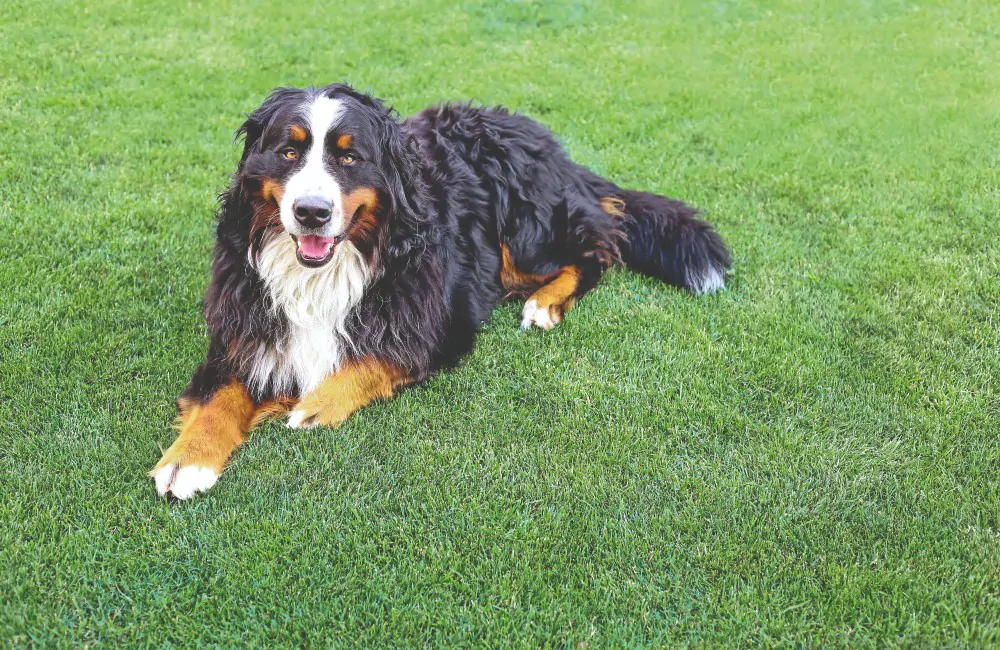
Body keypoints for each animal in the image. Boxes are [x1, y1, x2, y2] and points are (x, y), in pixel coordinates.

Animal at [151, 83, 731, 499]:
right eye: (288, 152)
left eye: (349, 158)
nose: (311, 212)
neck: (331, 268)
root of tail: (550, 147)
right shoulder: (243, 327)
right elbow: (219, 396)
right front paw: (187, 459)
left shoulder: (440, 319)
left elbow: (374, 358)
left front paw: (317, 402)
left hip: (522, 231)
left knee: (595, 251)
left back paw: (545, 304)